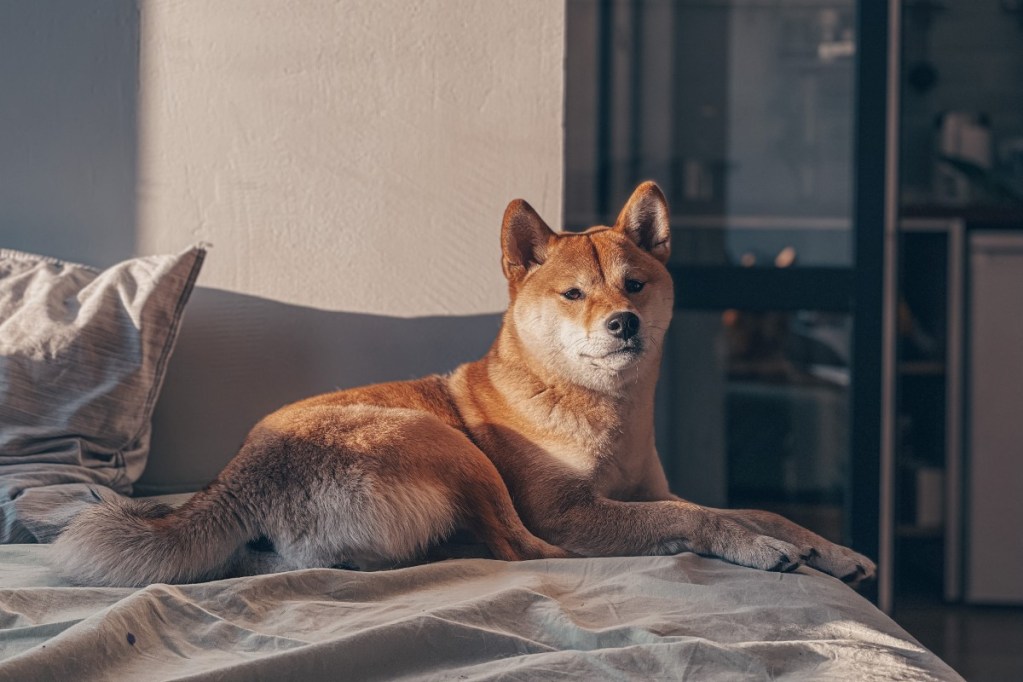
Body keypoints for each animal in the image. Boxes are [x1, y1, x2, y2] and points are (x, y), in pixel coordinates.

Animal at [51, 180, 875, 588]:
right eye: (574, 295)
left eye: (635, 285)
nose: (623, 325)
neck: (601, 414)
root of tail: (234, 483)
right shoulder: (571, 511)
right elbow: (696, 517)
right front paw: (754, 550)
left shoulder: (645, 489)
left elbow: (750, 507)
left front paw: (827, 550)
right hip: (447, 445)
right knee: (523, 550)